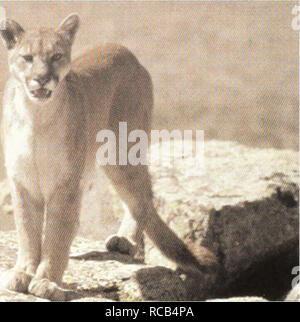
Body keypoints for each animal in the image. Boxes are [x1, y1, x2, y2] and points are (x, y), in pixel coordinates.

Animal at [0, 13, 213, 300]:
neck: (36, 117)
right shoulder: (22, 182)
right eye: (27, 57)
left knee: (143, 196)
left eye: (56, 56)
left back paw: (126, 241)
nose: (42, 79)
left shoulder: (66, 185)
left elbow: (56, 235)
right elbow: (27, 231)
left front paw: (47, 282)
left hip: (123, 156)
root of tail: (125, 51)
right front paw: (22, 272)